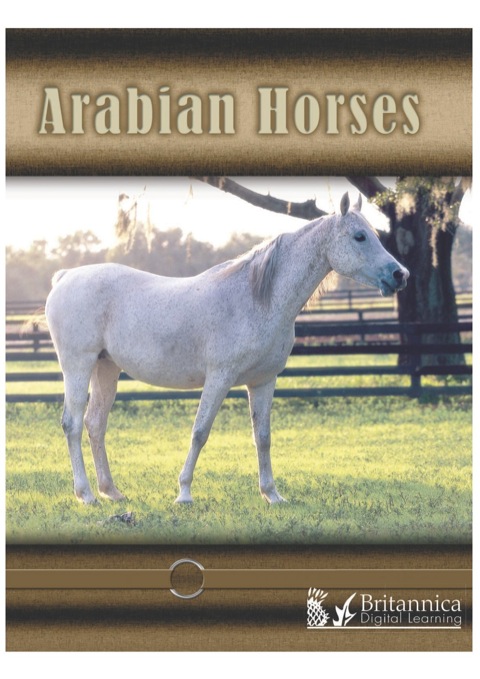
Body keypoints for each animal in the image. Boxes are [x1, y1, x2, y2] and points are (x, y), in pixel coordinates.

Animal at [45, 192, 409, 505]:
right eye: (360, 236)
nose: (399, 274)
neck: (256, 299)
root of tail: (64, 277)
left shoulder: (263, 382)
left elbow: (263, 436)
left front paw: (272, 494)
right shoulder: (219, 379)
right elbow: (200, 432)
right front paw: (184, 493)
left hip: (106, 368)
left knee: (95, 424)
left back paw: (111, 491)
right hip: (78, 366)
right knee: (72, 424)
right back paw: (86, 495)